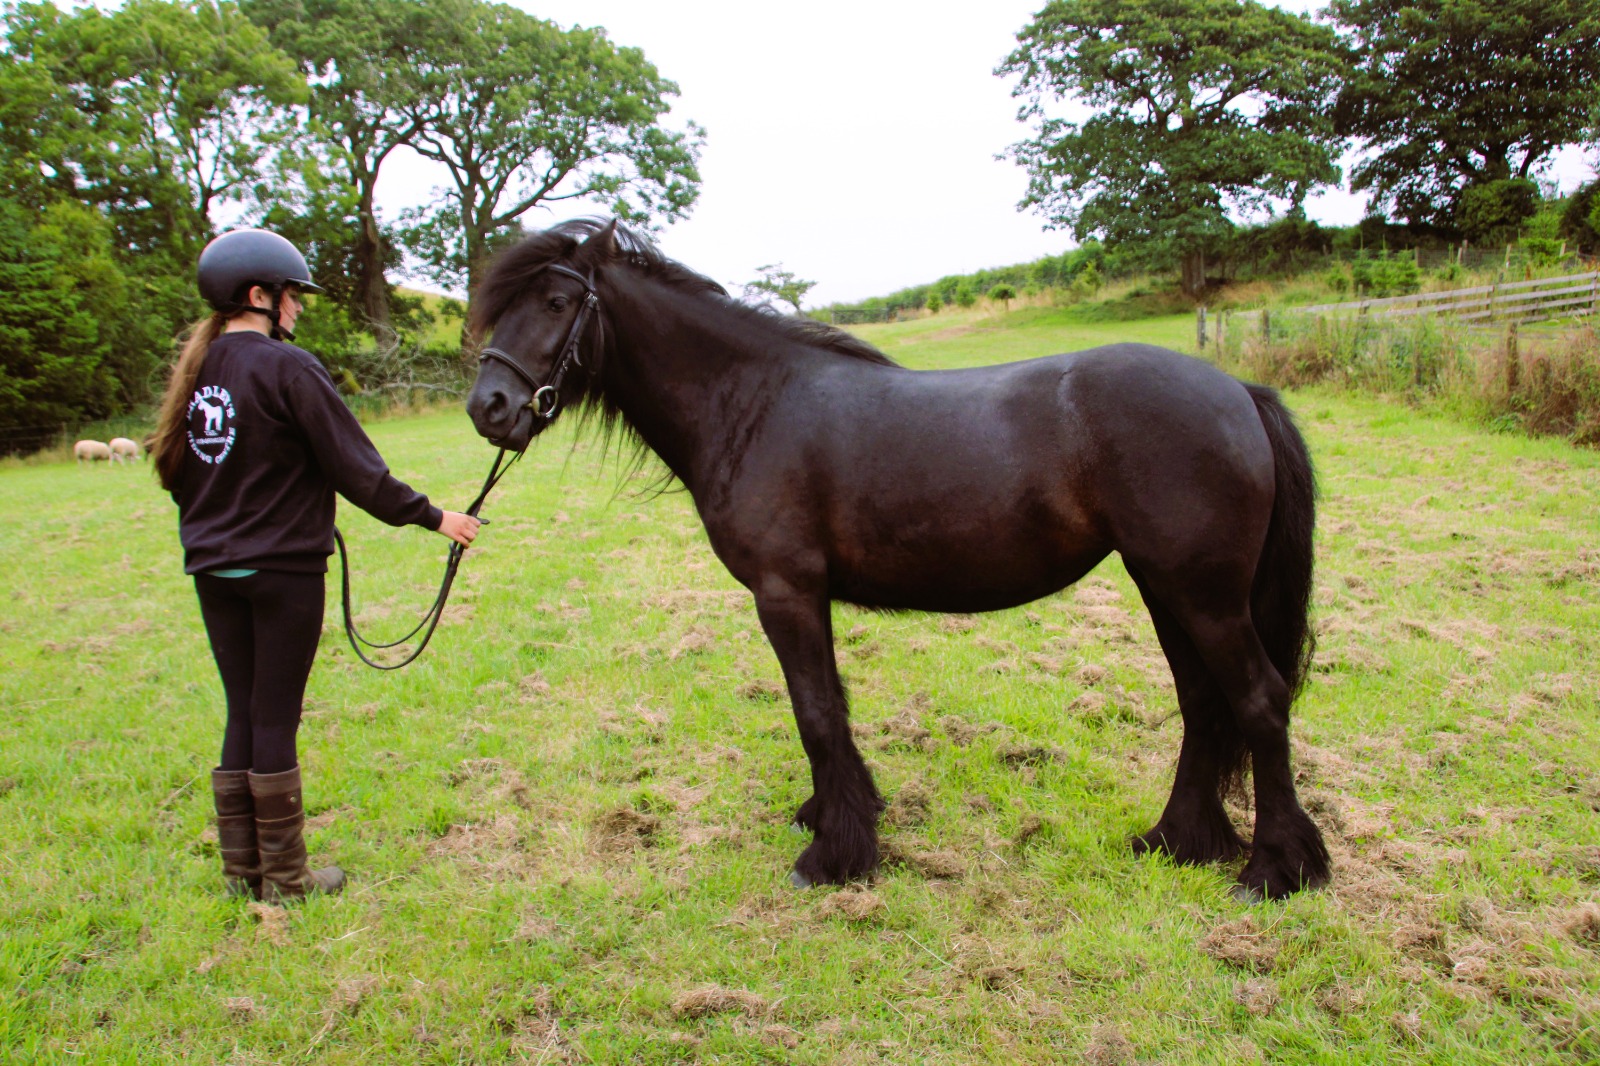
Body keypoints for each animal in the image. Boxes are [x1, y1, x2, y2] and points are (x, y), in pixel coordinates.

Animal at [465, 219, 1331, 901]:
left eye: (555, 303)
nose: (489, 408)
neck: (752, 402)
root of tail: (1239, 390)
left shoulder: (785, 592)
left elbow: (816, 712)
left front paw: (832, 856)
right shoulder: (804, 597)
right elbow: (829, 708)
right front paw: (837, 819)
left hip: (1202, 594)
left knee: (1259, 700)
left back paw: (1274, 871)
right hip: (1168, 588)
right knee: (1203, 704)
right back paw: (1178, 842)